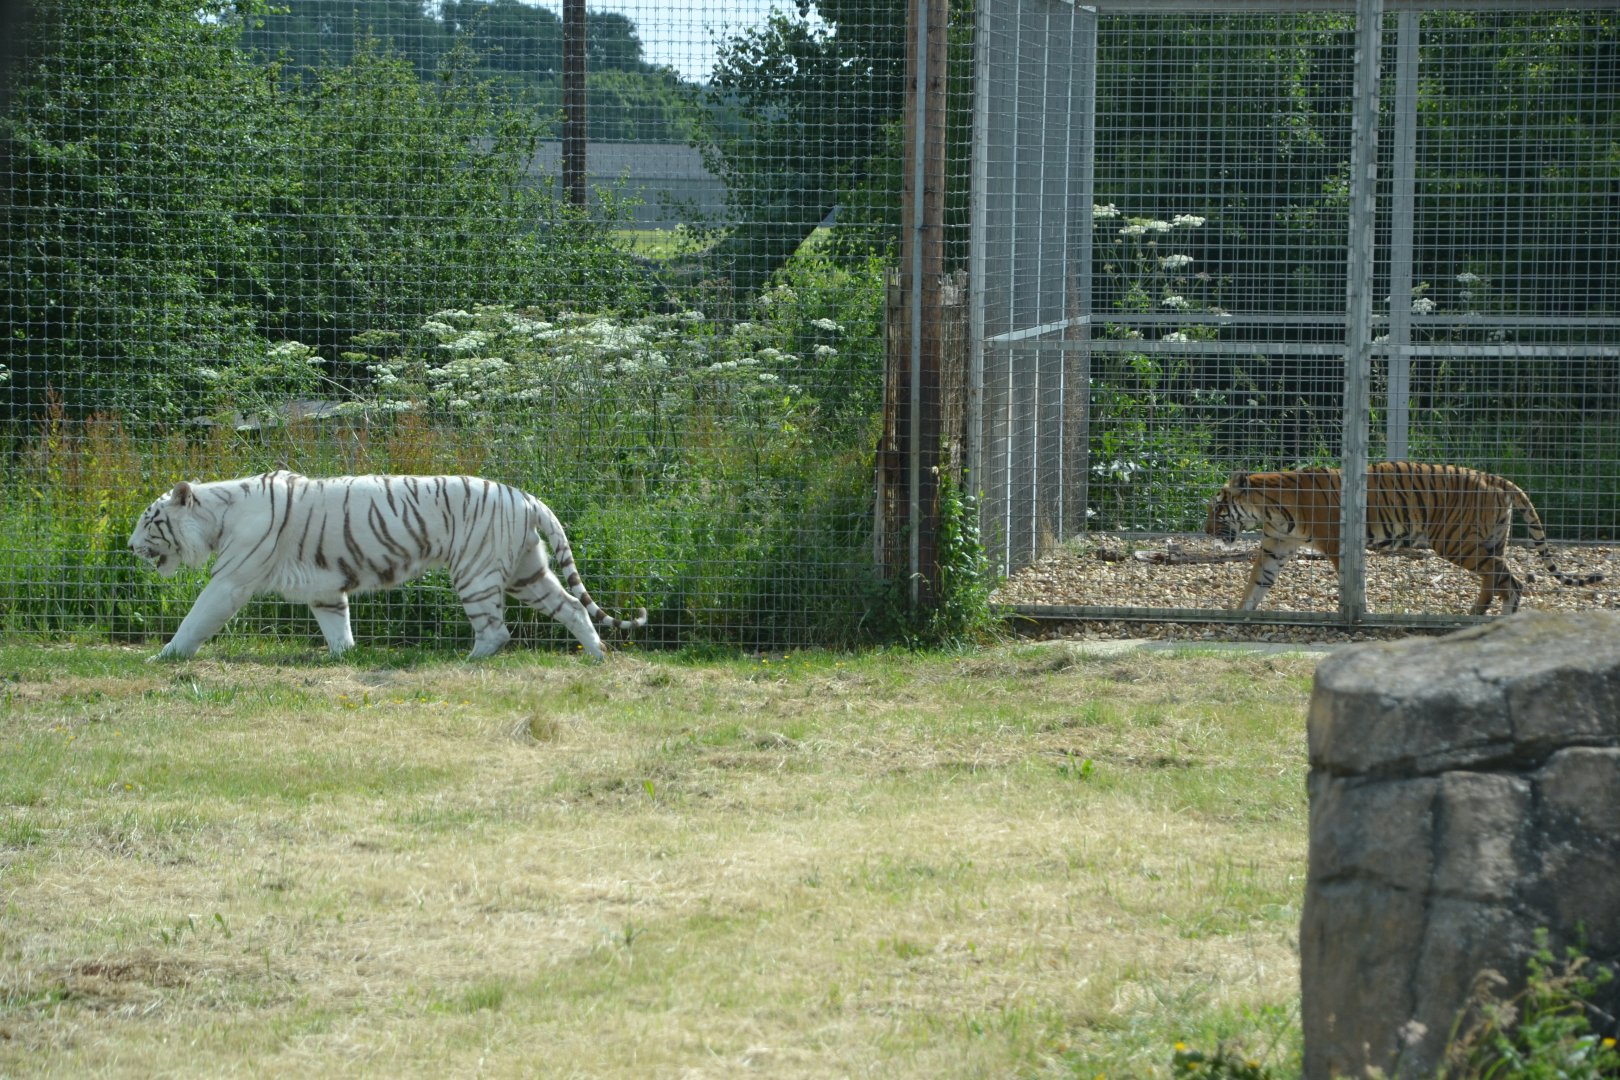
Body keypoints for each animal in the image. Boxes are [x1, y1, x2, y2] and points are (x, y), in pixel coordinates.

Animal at [128, 470, 647, 660]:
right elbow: (337, 627)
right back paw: (598, 655)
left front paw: (165, 657)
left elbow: (195, 619)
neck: (217, 516)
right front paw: (343, 656)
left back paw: (468, 661)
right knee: (572, 607)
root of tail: (526, 496)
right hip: (527, 572)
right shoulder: (324, 590)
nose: (131, 548)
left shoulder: (230, 580)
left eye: (150, 520)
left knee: (497, 631)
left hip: (476, 572)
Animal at [1204, 461, 1603, 615]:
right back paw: (1481, 616)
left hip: (1454, 541)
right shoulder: (1276, 547)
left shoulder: (1337, 545)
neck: (1269, 508)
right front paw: (1239, 614)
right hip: (1490, 539)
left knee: (1509, 580)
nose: (1206, 530)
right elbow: (1257, 583)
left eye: (1217, 509)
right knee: (1499, 579)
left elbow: (1353, 584)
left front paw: (1360, 611)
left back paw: (1485, 618)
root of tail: (1496, 478)